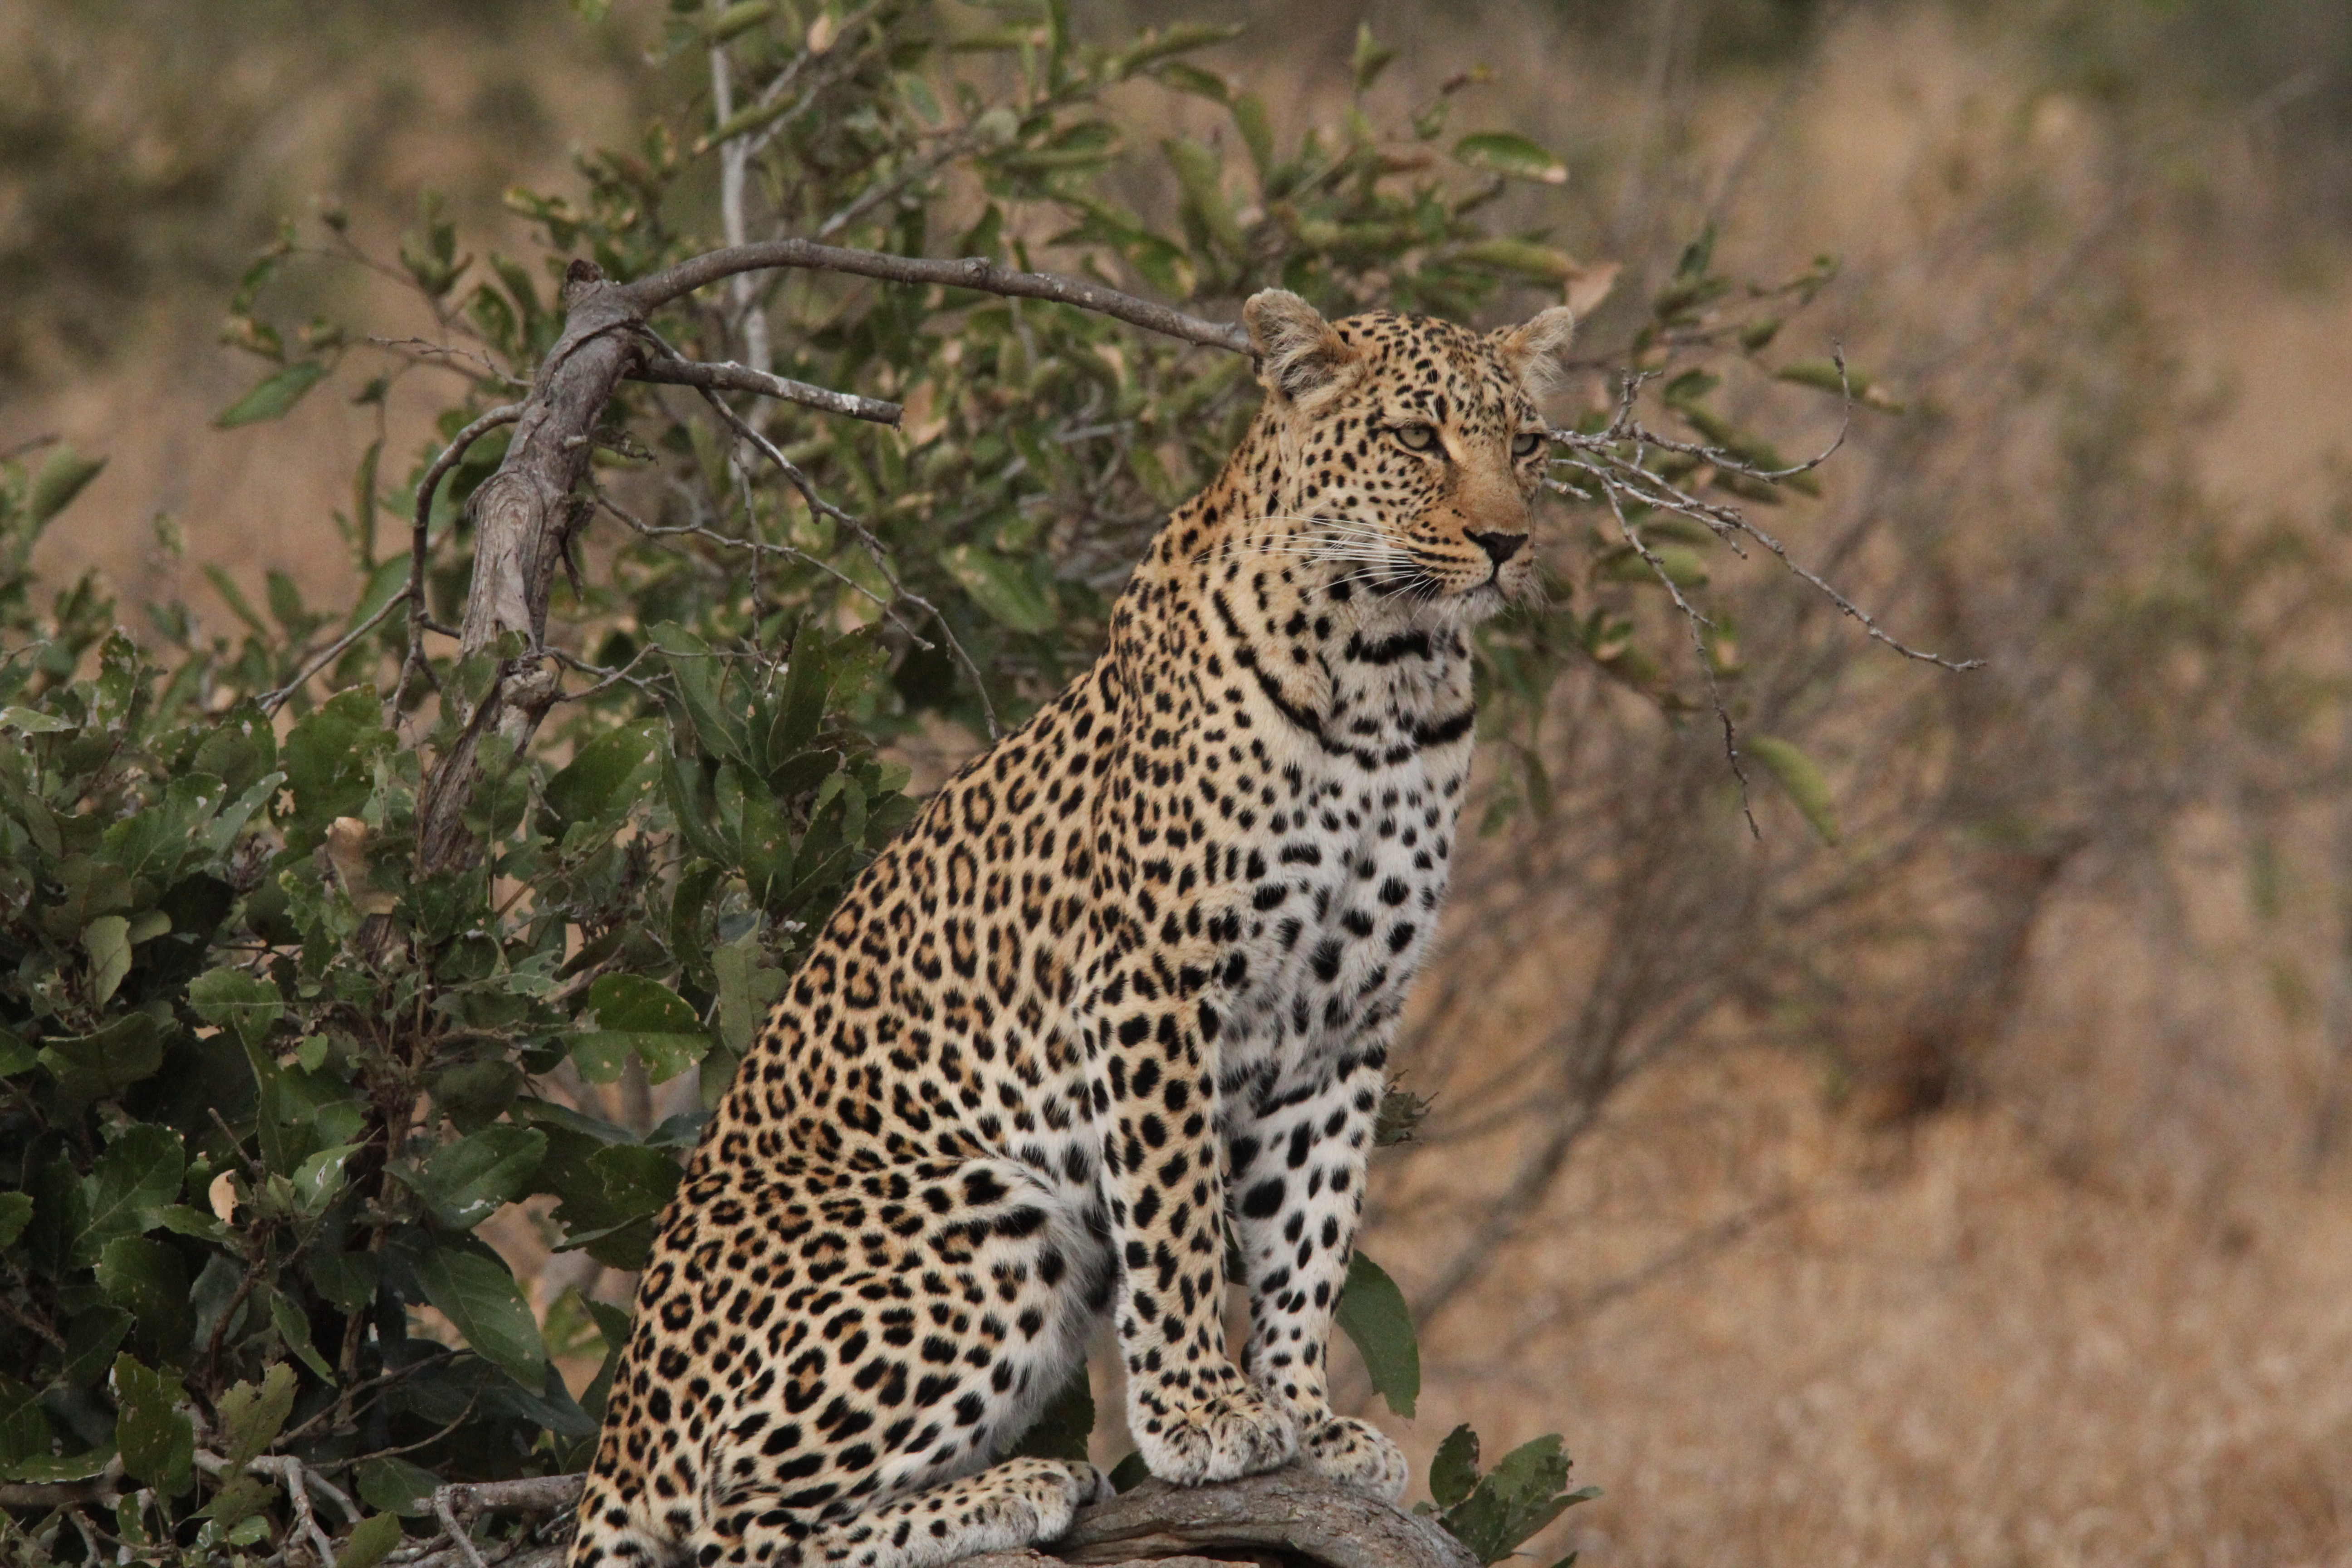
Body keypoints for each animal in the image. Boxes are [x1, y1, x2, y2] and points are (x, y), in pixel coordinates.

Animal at [568, 288, 1577, 1568]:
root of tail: (616, 1438)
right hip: (982, 1216)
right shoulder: (1156, 982)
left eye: (1528, 445)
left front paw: (1306, 1418)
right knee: (733, 1523)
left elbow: (1311, 1233)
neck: (1386, 678)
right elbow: (1181, 1216)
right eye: (1414, 438)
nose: (1508, 543)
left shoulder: (1347, 1020)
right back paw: (1015, 1490)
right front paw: (1202, 1414)